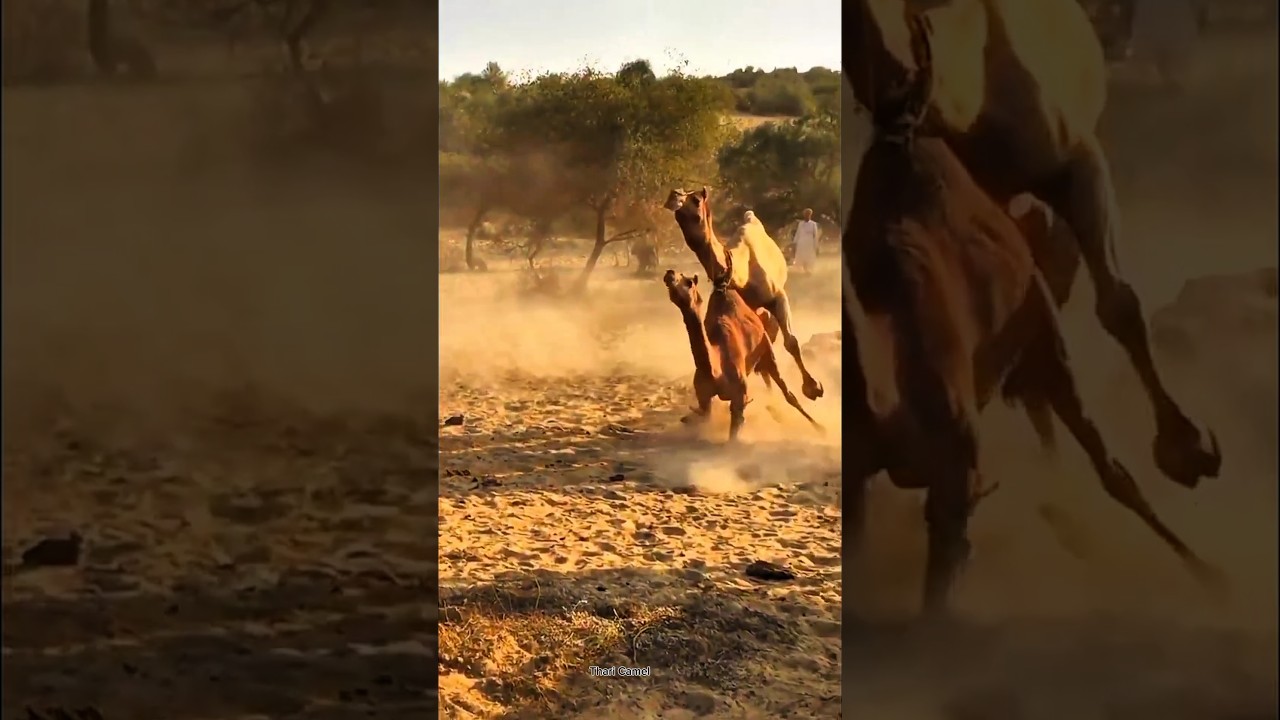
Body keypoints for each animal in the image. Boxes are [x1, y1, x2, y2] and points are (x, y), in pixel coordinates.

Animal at [663, 254, 823, 442]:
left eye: (688, 282)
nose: (670, 273)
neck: (716, 369)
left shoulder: (739, 397)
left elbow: (734, 432)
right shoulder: (704, 398)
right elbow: (703, 415)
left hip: (767, 349)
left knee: (787, 390)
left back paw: (819, 423)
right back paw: (776, 410)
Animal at [664, 189, 825, 403]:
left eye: (696, 199)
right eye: (676, 193)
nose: (674, 198)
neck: (742, 272)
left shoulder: (778, 296)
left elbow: (791, 341)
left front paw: (813, 388)